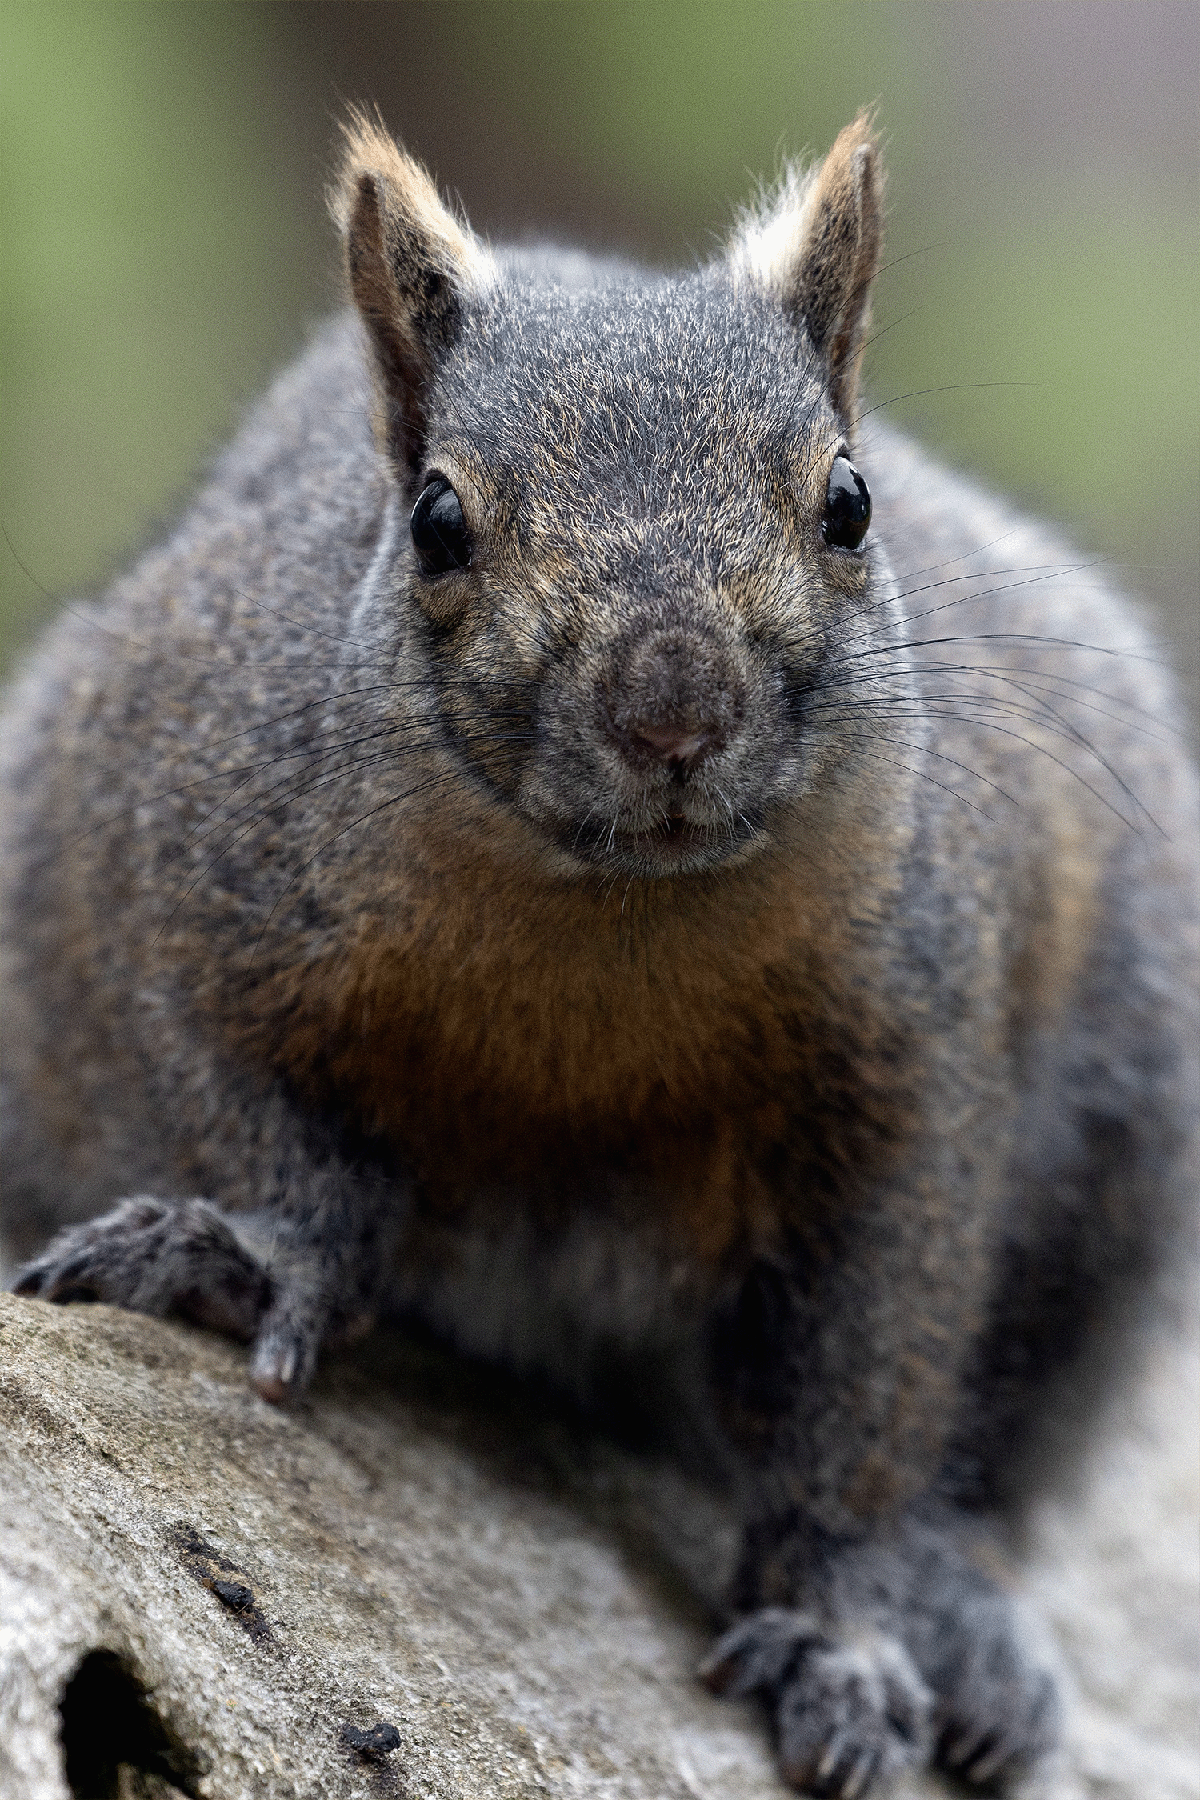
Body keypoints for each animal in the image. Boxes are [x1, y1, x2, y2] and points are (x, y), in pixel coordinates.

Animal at [4, 111, 1197, 1797]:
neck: (612, 940)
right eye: (437, 520)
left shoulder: (909, 1067)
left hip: (1117, 1137)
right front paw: (261, 1249)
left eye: (849, 502)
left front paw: (842, 1627)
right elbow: (233, 1109)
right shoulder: (141, 861)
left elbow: (867, 1372)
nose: (673, 702)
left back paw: (965, 1614)